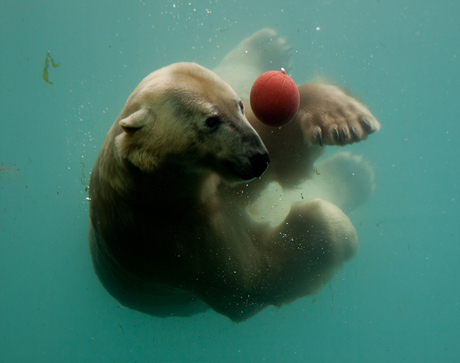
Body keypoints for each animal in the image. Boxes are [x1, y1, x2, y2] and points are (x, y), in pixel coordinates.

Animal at [88, 29, 380, 322]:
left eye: (238, 106)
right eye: (211, 121)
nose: (259, 160)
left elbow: (277, 143)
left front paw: (343, 119)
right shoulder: (181, 243)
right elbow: (255, 277)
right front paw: (337, 228)